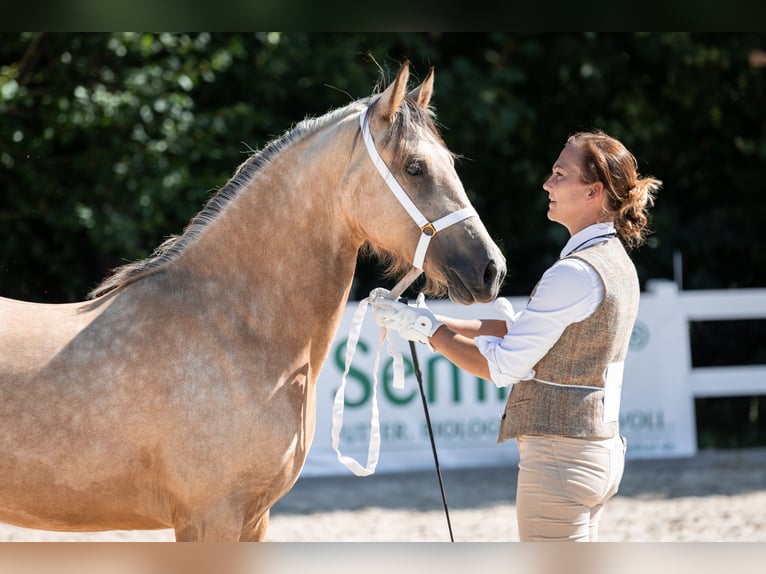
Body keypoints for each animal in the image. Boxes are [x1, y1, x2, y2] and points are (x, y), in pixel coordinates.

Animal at [0, 62, 506, 541]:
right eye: (415, 167)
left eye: (451, 161)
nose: (491, 270)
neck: (233, 327)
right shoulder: (210, 519)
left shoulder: (252, 519)